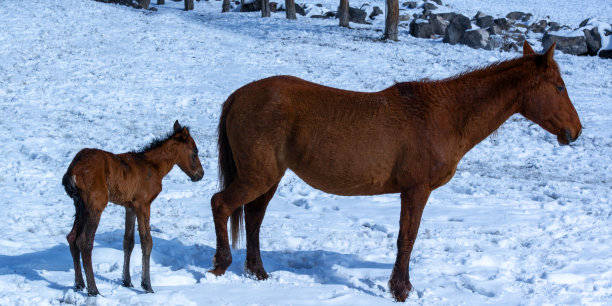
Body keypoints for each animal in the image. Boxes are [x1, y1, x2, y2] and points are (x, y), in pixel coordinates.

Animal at [63, 120, 204, 296]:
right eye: (195, 152)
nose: (200, 174)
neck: (154, 167)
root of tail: (73, 169)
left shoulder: (129, 207)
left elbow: (128, 242)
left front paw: (127, 281)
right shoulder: (143, 204)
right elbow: (147, 241)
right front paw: (147, 285)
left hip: (80, 205)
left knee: (72, 237)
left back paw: (79, 284)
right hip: (95, 204)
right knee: (84, 241)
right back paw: (93, 289)